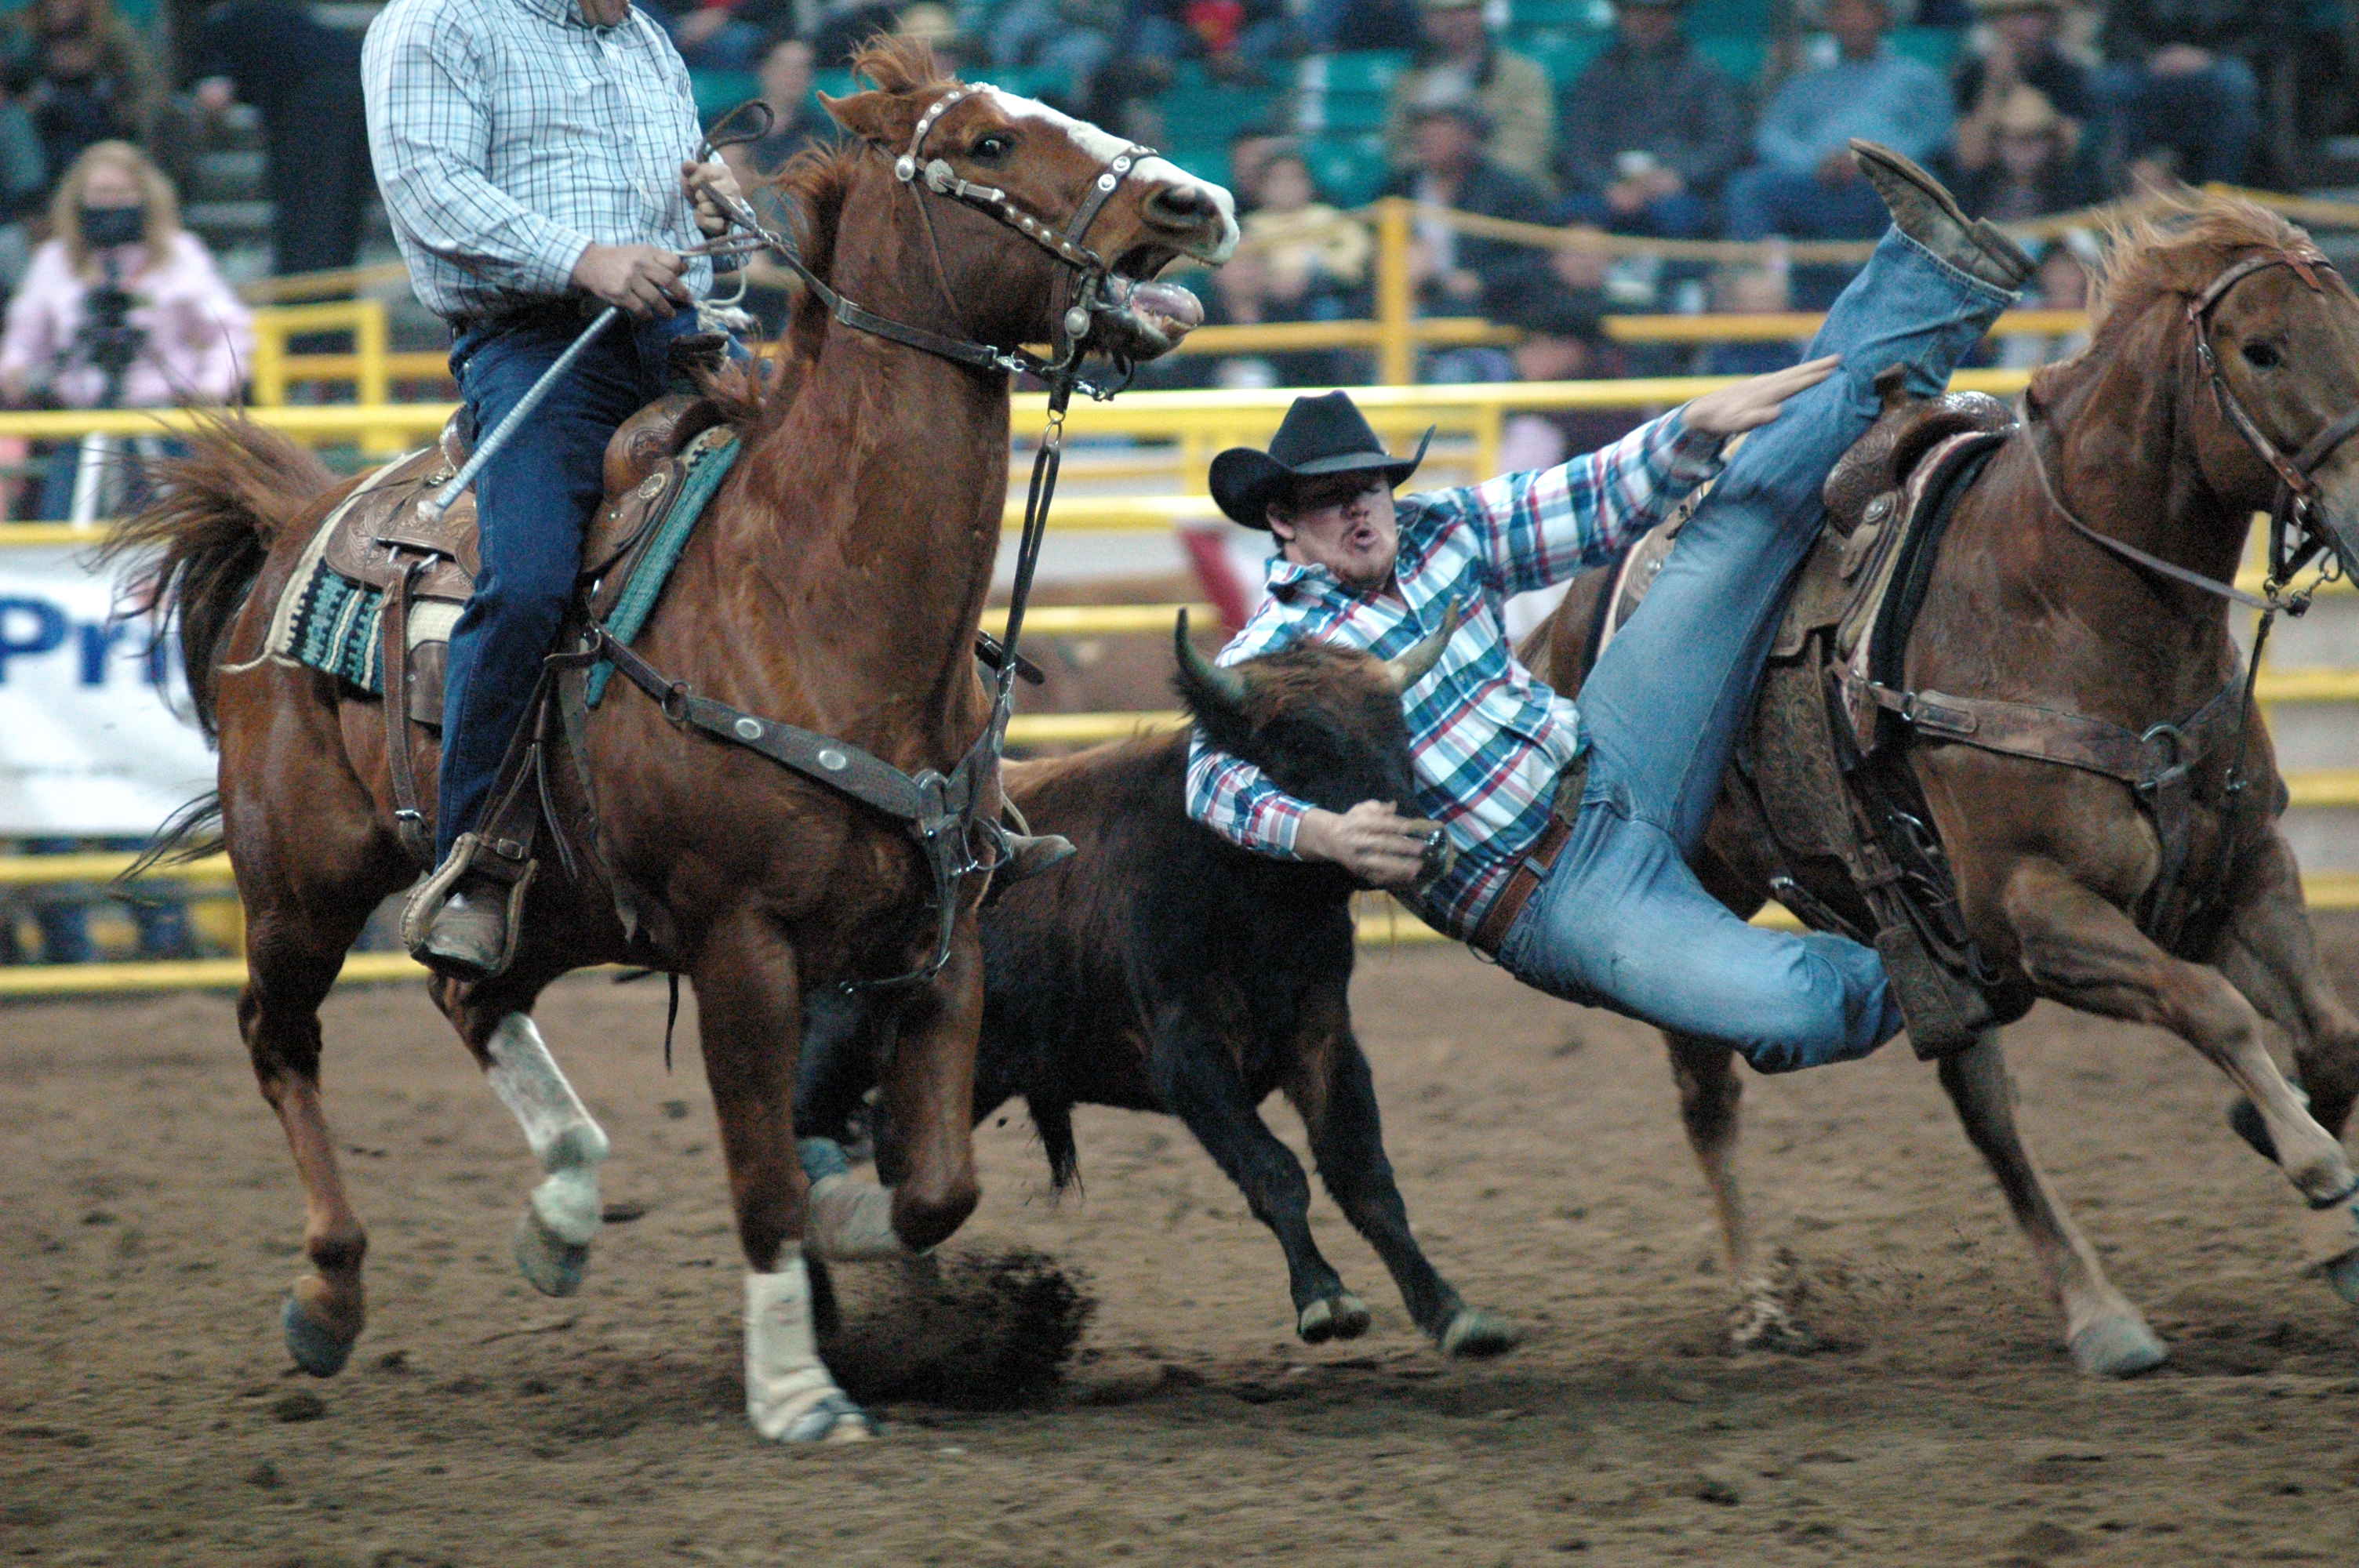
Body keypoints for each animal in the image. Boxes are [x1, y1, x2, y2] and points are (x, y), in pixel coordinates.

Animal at [106, 36, 1236, 1433]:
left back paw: (561, 1213)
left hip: (539, 893)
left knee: (469, 988)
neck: (809, 597)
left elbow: (934, 1188)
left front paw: (847, 1219)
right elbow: (760, 1181)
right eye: (987, 144)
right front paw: (799, 1388)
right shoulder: (739, 946)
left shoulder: (943, 934)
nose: (1193, 204)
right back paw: (330, 1292)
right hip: (301, 885)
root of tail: (299, 520)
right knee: (280, 1037)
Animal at [1528, 201, 2359, 1377]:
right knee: (1711, 1093)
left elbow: (2328, 1035)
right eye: (2262, 349)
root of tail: (1576, 609)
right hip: (1681, 895)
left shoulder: (2245, 869)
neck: (2066, 606)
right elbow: (2215, 1006)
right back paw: (1764, 1304)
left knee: (1980, 1105)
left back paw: (2093, 1309)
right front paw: (2310, 1160)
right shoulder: (2031, 913)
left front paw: (2295, 1163)